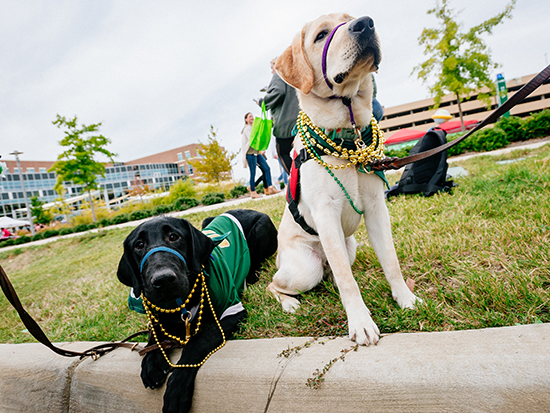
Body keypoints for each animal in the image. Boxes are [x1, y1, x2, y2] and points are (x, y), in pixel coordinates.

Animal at [118, 209, 278, 412]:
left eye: (174, 236)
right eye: (139, 245)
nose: (163, 279)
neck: (179, 304)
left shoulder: (234, 311)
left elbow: (199, 340)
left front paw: (177, 388)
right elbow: (154, 331)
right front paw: (152, 361)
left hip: (260, 229)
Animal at [268, 12, 422, 344]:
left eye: (350, 18)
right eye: (320, 35)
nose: (365, 24)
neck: (349, 134)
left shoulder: (377, 207)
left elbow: (391, 261)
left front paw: (406, 299)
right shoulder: (326, 213)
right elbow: (348, 281)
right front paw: (361, 323)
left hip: (349, 247)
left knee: (334, 272)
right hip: (306, 268)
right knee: (276, 284)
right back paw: (289, 303)